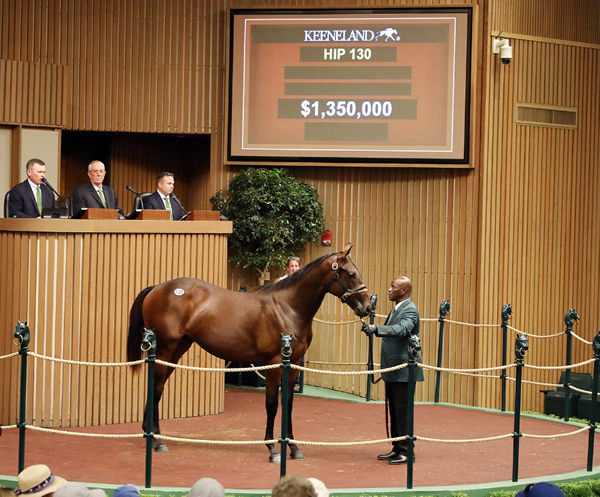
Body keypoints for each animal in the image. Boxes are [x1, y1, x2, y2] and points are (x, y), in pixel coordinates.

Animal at [126, 243, 370, 462]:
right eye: (351, 274)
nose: (367, 307)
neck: (288, 307)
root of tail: (157, 288)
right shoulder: (274, 364)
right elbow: (272, 405)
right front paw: (273, 449)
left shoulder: (293, 364)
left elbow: (288, 404)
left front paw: (293, 447)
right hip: (166, 350)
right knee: (156, 388)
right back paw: (158, 441)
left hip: (176, 351)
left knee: (156, 387)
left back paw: (152, 433)